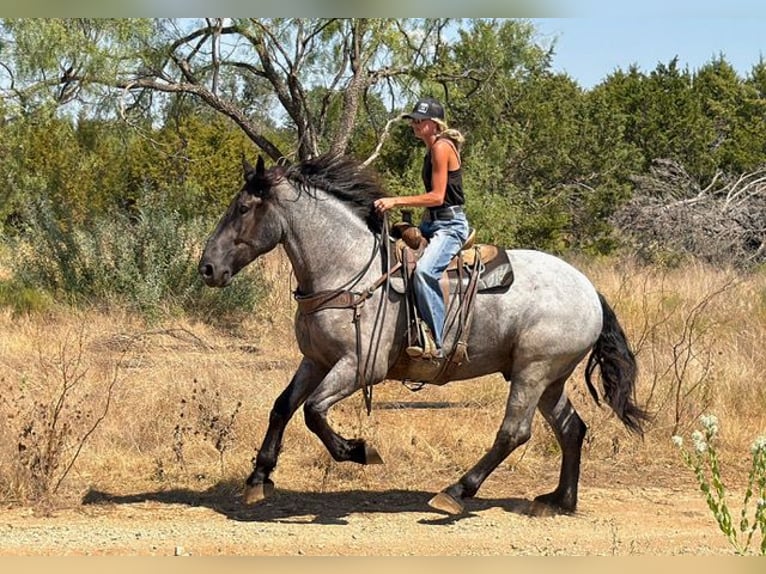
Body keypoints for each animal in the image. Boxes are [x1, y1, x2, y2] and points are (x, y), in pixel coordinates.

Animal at [198, 153, 648, 515]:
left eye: (242, 208)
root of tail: (590, 289)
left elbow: (313, 412)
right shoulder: (317, 360)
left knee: (514, 432)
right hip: (550, 378)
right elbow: (283, 407)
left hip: (532, 372)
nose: (207, 267)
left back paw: (456, 492)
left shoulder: (360, 367)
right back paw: (559, 501)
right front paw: (259, 478)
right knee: (571, 428)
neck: (348, 268)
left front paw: (358, 450)